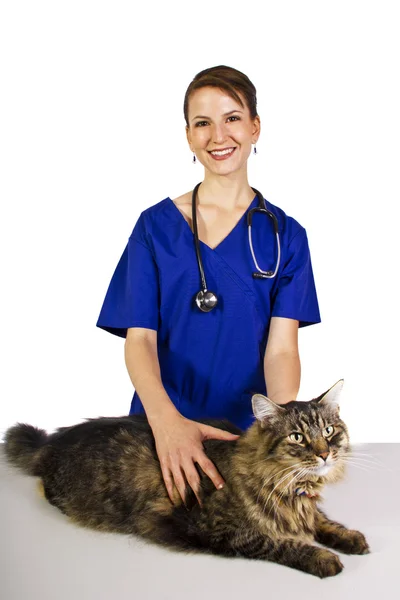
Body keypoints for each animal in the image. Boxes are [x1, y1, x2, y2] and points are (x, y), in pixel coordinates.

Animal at [3, 378, 370, 580]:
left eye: (328, 431)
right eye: (297, 437)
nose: (325, 454)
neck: (290, 486)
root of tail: (53, 440)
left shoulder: (306, 508)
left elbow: (323, 521)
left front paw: (350, 537)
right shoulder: (219, 529)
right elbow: (282, 542)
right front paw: (322, 557)